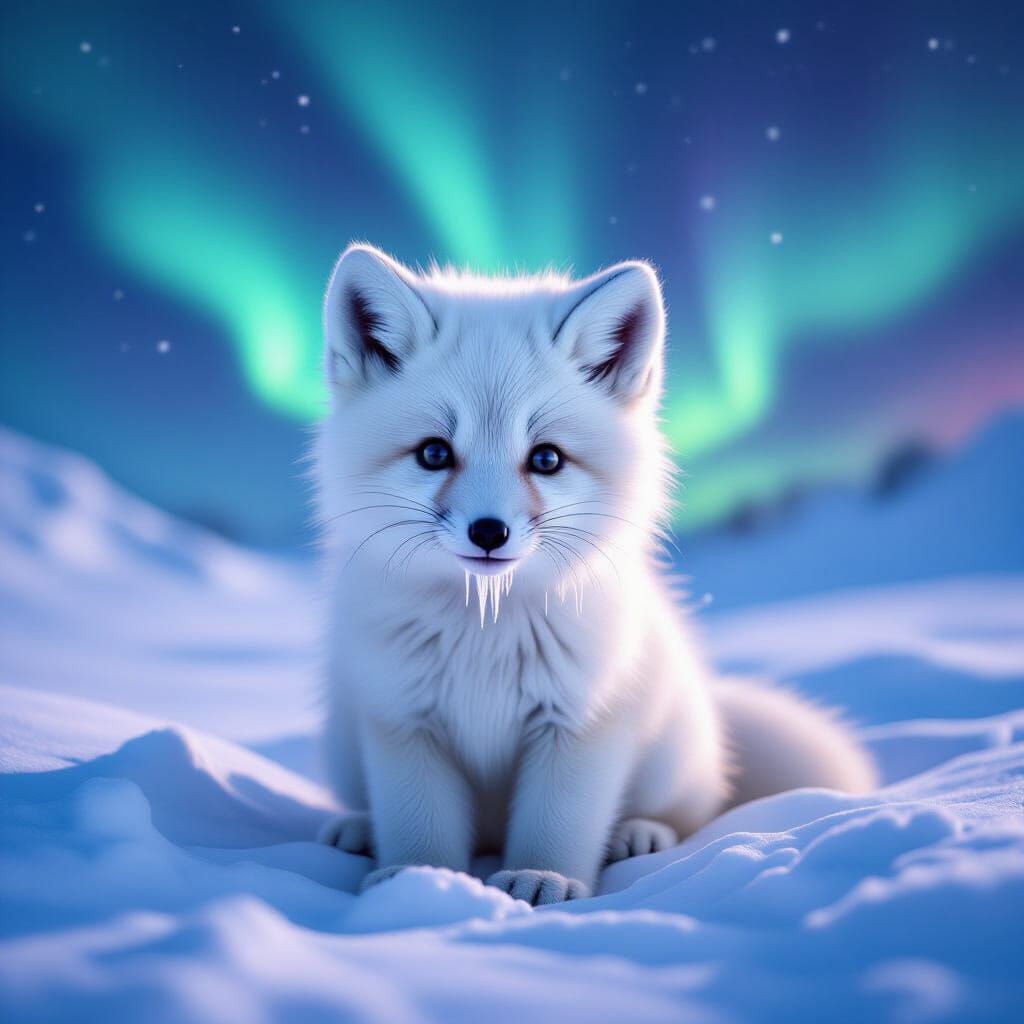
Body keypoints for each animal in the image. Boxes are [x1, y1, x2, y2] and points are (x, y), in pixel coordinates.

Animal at [314, 244, 877, 905]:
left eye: (546, 459)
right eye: (433, 453)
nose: (489, 532)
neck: (486, 633)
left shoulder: (582, 721)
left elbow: (558, 824)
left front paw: (540, 879)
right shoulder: (403, 721)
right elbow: (417, 824)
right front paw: (419, 880)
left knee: (690, 811)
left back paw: (640, 834)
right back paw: (358, 830)